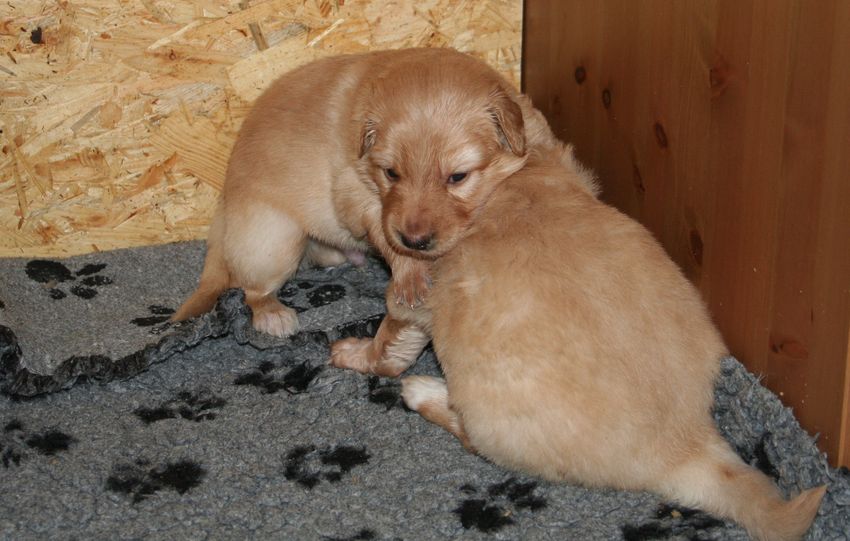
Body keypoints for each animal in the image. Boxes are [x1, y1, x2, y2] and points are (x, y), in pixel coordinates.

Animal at [173, 48, 569, 337]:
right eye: (391, 173)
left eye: (457, 177)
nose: (415, 240)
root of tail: (224, 201)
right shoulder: (354, 192)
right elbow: (382, 228)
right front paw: (410, 274)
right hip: (273, 240)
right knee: (250, 288)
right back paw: (273, 315)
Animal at [330, 143, 825, 541]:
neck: (507, 179)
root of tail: (685, 443)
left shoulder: (413, 296)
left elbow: (389, 335)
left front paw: (353, 354)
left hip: (487, 410)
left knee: (471, 435)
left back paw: (421, 391)